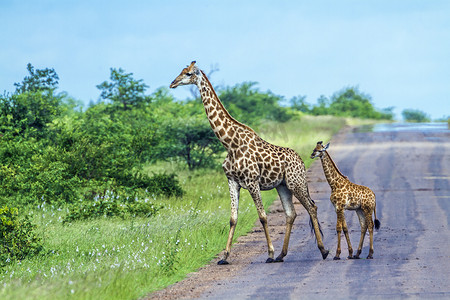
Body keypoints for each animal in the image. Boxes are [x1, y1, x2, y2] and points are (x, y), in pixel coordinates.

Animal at [171, 62, 328, 264]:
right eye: (181, 72)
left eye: (188, 73)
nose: (172, 84)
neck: (230, 143)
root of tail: (301, 160)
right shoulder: (232, 181)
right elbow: (233, 218)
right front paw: (225, 257)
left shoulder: (252, 182)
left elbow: (262, 216)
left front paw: (269, 253)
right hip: (283, 186)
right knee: (291, 213)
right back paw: (282, 255)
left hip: (296, 182)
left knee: (312, 207)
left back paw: (323, 251)